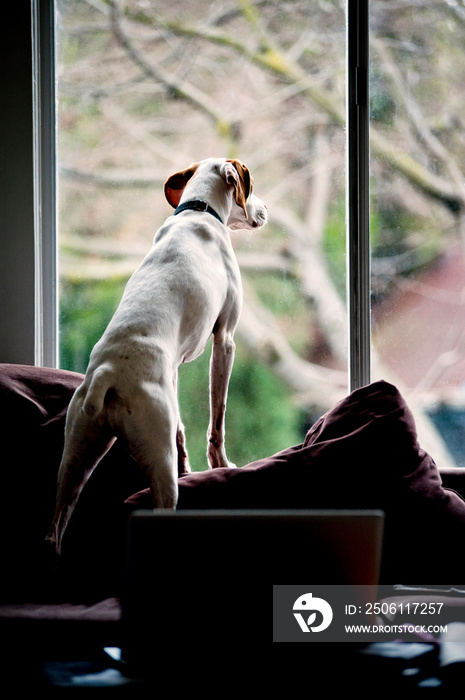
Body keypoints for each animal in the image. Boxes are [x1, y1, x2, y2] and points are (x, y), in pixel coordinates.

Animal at [46, 157, 266, 552]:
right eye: (252, 186)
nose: (266, 211)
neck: (198, 211)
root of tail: (107, 375)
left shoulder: (174, 370)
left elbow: (182, 429)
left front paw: (190, 466)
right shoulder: (225, 339)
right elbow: (218, 419)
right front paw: (222, 465)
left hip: (75, 460)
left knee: (54, 528)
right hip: (159, 470)